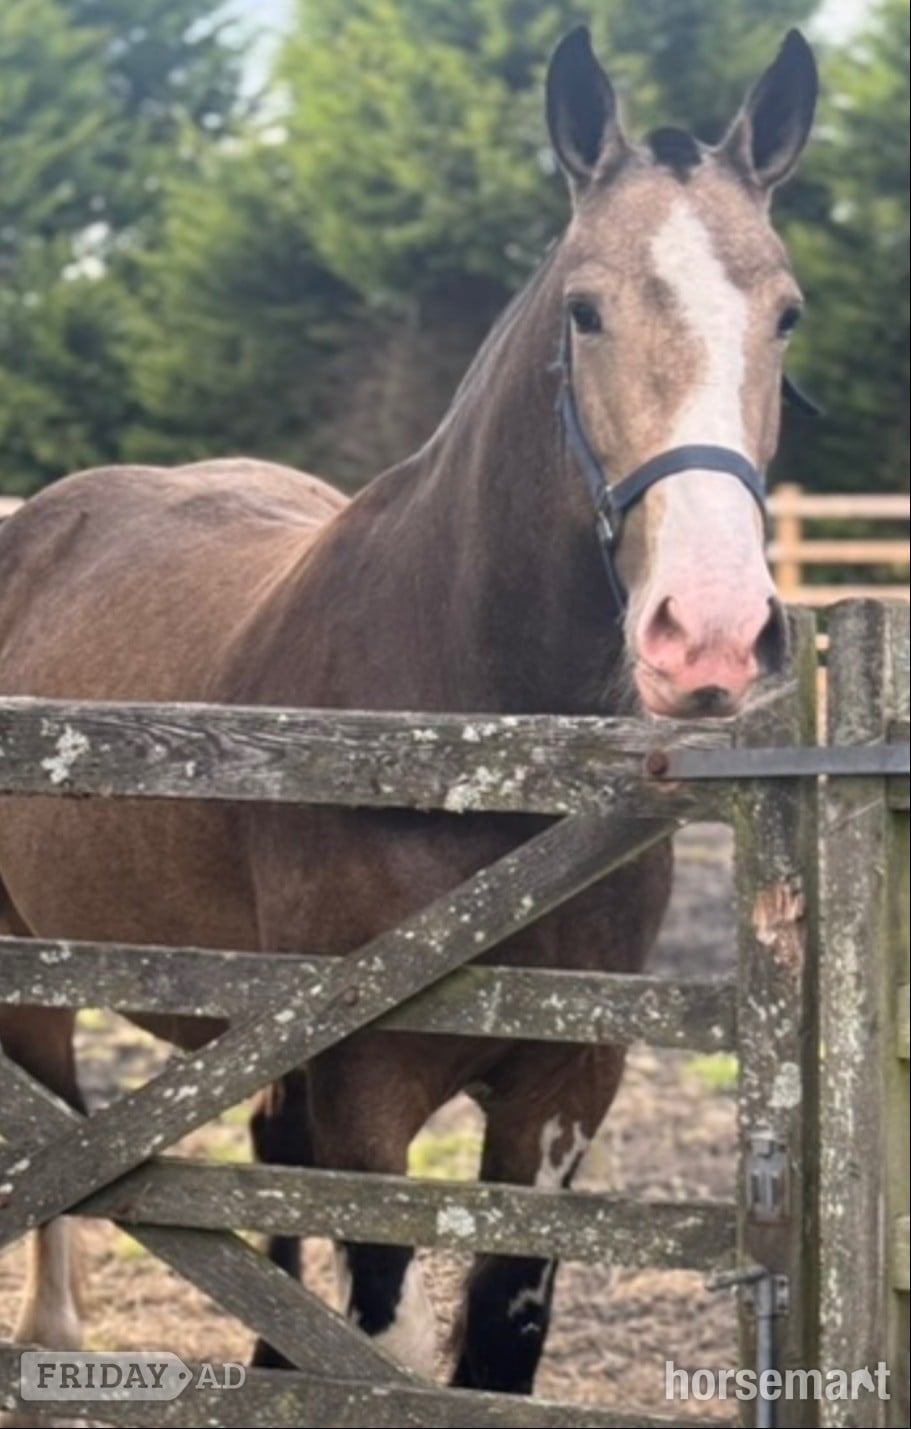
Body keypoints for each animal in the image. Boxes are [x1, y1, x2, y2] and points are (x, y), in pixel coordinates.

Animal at [0, 25, 816, 1399]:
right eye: (584, 309)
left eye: (786, 313)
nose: (706, 627)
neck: (471, 742)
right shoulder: (368, 1086)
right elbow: (373, 1324)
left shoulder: (562, 1091)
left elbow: (496, 1342)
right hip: (38, 978)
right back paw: (54, 1339)